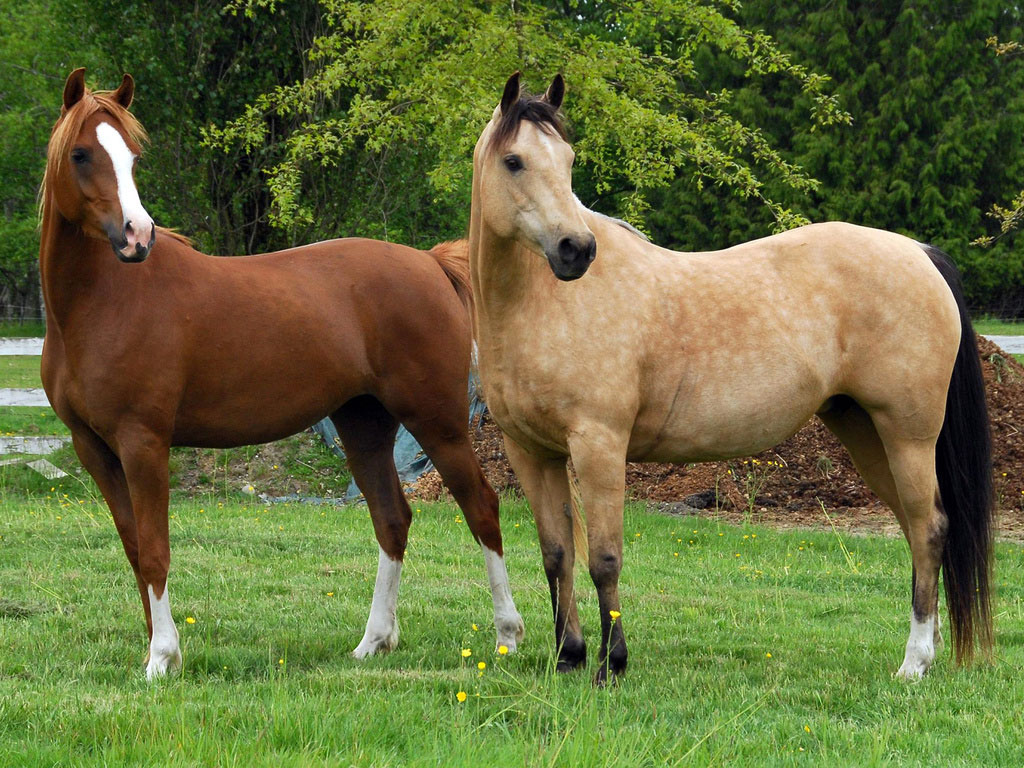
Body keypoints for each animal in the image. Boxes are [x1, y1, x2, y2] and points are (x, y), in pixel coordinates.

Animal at [39, 67, 524, 679]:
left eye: (132, 156)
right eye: (81, 154)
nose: (136, 237)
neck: (101, 304)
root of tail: (431, 264)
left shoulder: (142, 442)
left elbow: (154, 549)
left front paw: (162, 658)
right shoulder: (94, 448)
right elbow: (133, 548)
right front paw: (157, 652)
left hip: (438, 422)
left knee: (481, 507)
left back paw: (507, 636)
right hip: (364, 426)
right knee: (392, 519)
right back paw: (373, 642)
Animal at [468, 73, 991, 684]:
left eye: (570, 160)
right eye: (514, 161)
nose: (577, 250)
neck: (539, 305)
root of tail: (920, 252)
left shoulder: (599, 445)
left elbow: (604, 558)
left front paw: (610, 664)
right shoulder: (532, 452)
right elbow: (557, 554)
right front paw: (568, 656)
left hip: (908, 436)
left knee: (929, 529)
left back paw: (913, 663)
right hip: (867, 433)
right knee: (917, 530)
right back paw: (928, 651)